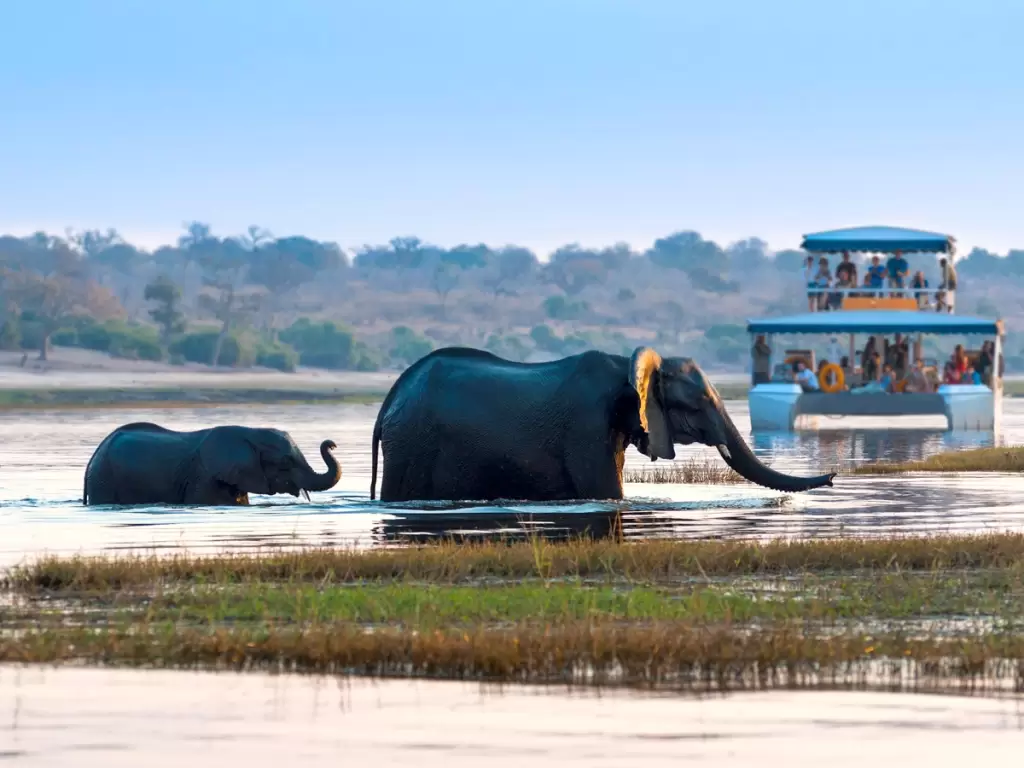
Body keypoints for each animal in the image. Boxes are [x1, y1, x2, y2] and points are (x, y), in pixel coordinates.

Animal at [369, 346, 836, 502]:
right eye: (701, 401)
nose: (833, 476)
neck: (626, 367)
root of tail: (390, 398)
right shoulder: (586, 425)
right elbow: (607, 493)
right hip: (413, 442)